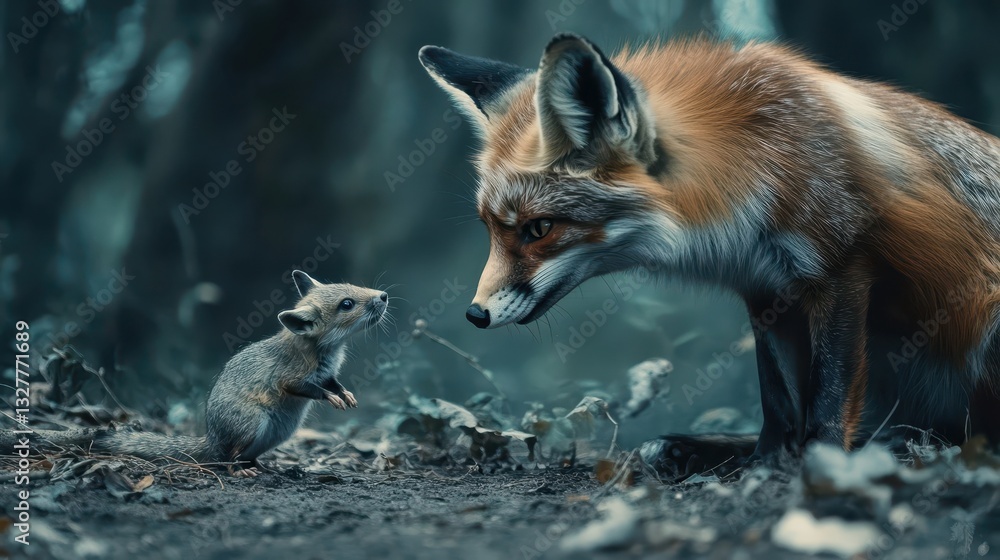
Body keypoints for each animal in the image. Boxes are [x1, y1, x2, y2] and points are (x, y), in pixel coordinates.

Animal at [418, 33, 1000, 475]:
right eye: (490, 229)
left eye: (539, 229)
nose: (475, 314)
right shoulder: (766, 290)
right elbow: (779, 402)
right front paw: (763, 464)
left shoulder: (841, 269)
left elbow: (826, 400)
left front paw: (819, 465)